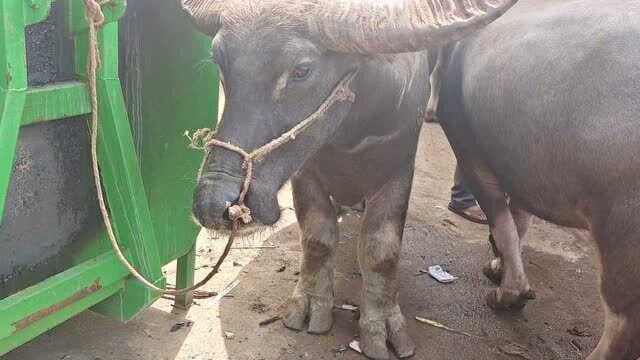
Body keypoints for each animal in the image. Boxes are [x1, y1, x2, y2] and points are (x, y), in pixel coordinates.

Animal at [180, 1, 516, 358]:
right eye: (219, 60)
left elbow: (382, 249)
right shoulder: (306, 172)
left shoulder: (398, 170)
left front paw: (380, 326)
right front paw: (312, 305)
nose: (213, 203)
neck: (350, 134)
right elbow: (317, 238)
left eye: (301, 70)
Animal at [430, 0, 640, 360]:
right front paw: (497, 267)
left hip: (620, 226)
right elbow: (520, 221)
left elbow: (504, 224)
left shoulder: (470, 151)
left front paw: (507, 293)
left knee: (621, 323)